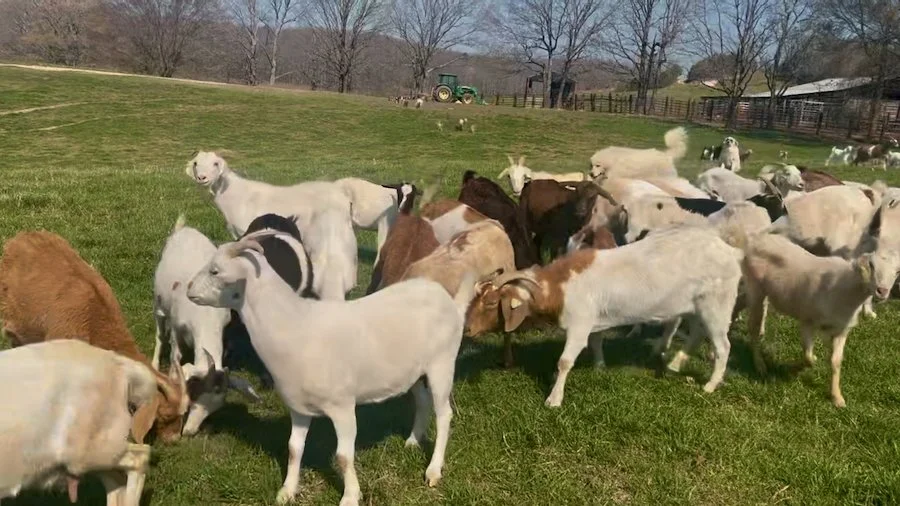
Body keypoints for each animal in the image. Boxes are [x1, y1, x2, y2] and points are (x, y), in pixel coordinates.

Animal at [186, 230, 478, 505]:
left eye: (215, 270)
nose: (188, 289)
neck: (293, 322)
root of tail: (452, 303)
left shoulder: (342, 407)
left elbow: (344, 456)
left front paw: (350, 496)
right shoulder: (298, 407)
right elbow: (294, 448)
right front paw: (287, 491)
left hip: (442, 364)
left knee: (444, 414)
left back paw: (434, 470)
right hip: (413, 372)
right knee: (423, 401)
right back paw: (414, 441)